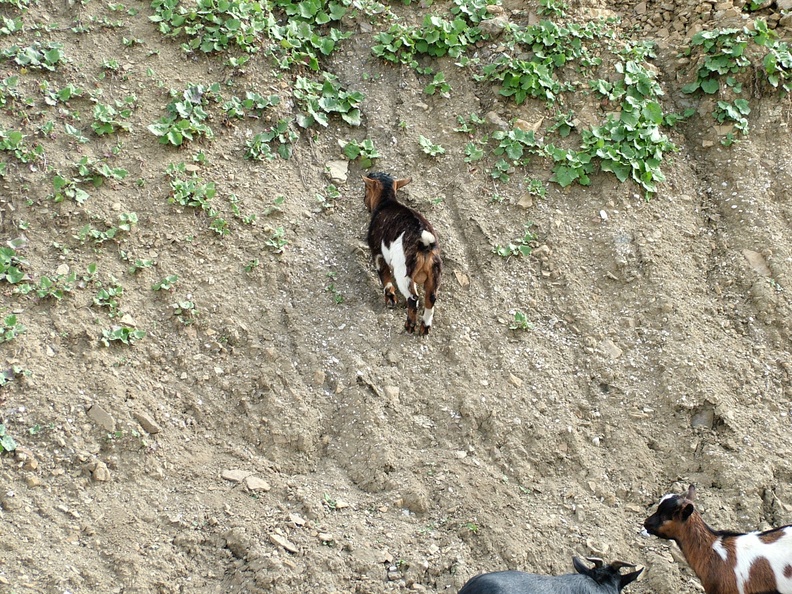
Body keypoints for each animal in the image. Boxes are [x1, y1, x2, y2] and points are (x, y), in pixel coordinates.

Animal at [362, 172, 442, 335]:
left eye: (366, 188)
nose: (363, 200)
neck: (386, 201)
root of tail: (425, 242)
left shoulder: (377, 251)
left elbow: (384, 274)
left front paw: (390, 298)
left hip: (404, 272)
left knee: (413, 298)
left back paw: (409, 325)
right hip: (435, 272)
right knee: (431, 298)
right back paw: (424, 327)